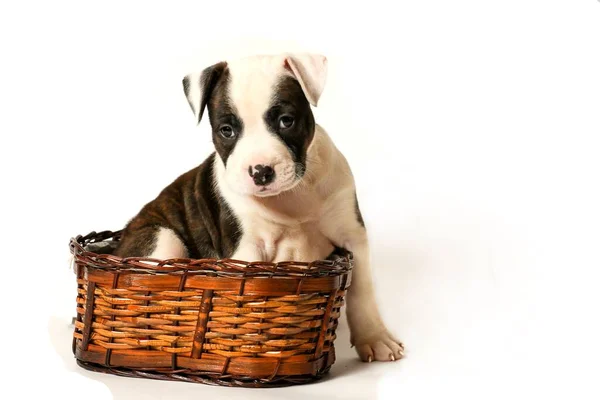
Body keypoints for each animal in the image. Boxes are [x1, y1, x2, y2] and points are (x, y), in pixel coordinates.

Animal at [112, 53, 404, 362]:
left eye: (286, 121)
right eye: (226, 130)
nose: (260, 171)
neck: (291, 196)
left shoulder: (353, 234)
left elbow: (362, 290)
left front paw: (375, 338)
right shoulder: (248, 251)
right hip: (162, 237)